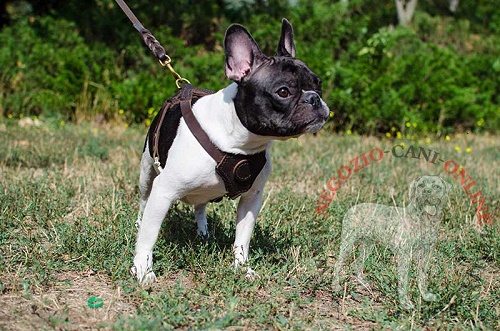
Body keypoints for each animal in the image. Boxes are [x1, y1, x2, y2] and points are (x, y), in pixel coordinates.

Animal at [131, 19, 330, 284]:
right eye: (283, 92)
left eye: (318, 84)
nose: (314, 98)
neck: (240, 143)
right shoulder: (163, 192)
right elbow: (149, 235)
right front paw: (143, 269)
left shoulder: (252, 197)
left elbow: (242, 237)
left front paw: (242, 266)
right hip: (147, 172)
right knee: (143, 202)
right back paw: (139, 224)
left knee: (200, 206)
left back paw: (203, 232)